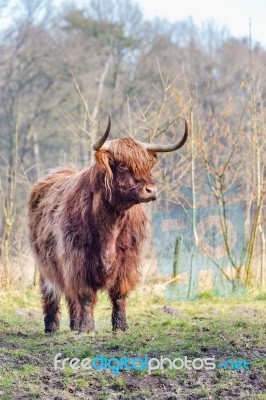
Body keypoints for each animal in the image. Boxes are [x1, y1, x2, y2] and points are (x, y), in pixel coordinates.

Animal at [28, 116, 187, 334]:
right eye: (122, 166)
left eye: (147, 165)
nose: (151, 190)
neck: (110, 224)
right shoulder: (77, 259)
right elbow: (86, 295)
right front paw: (87, 328)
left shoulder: (127, 259)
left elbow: (119, 294)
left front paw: (120, 326)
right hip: (46, 264)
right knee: (52, 292)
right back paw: (52, 327)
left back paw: (74, 324)